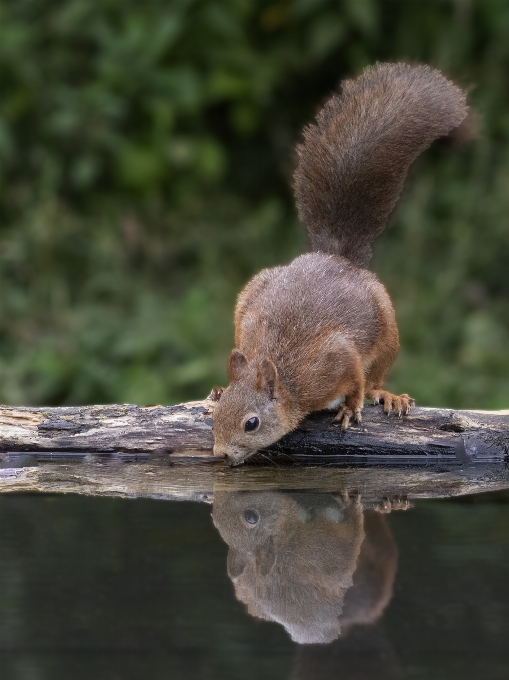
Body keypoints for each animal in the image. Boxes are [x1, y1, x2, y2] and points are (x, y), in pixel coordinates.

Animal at [211, 63, 468, 464]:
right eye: (217, 419)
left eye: (251, 423)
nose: (220, 454)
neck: (286, 377)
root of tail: (335, 256)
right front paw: (218, 393)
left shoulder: (334, 359)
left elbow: (356, 380)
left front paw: (351, 406)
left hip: (388, 330)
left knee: (375, 376)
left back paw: (386, 395)